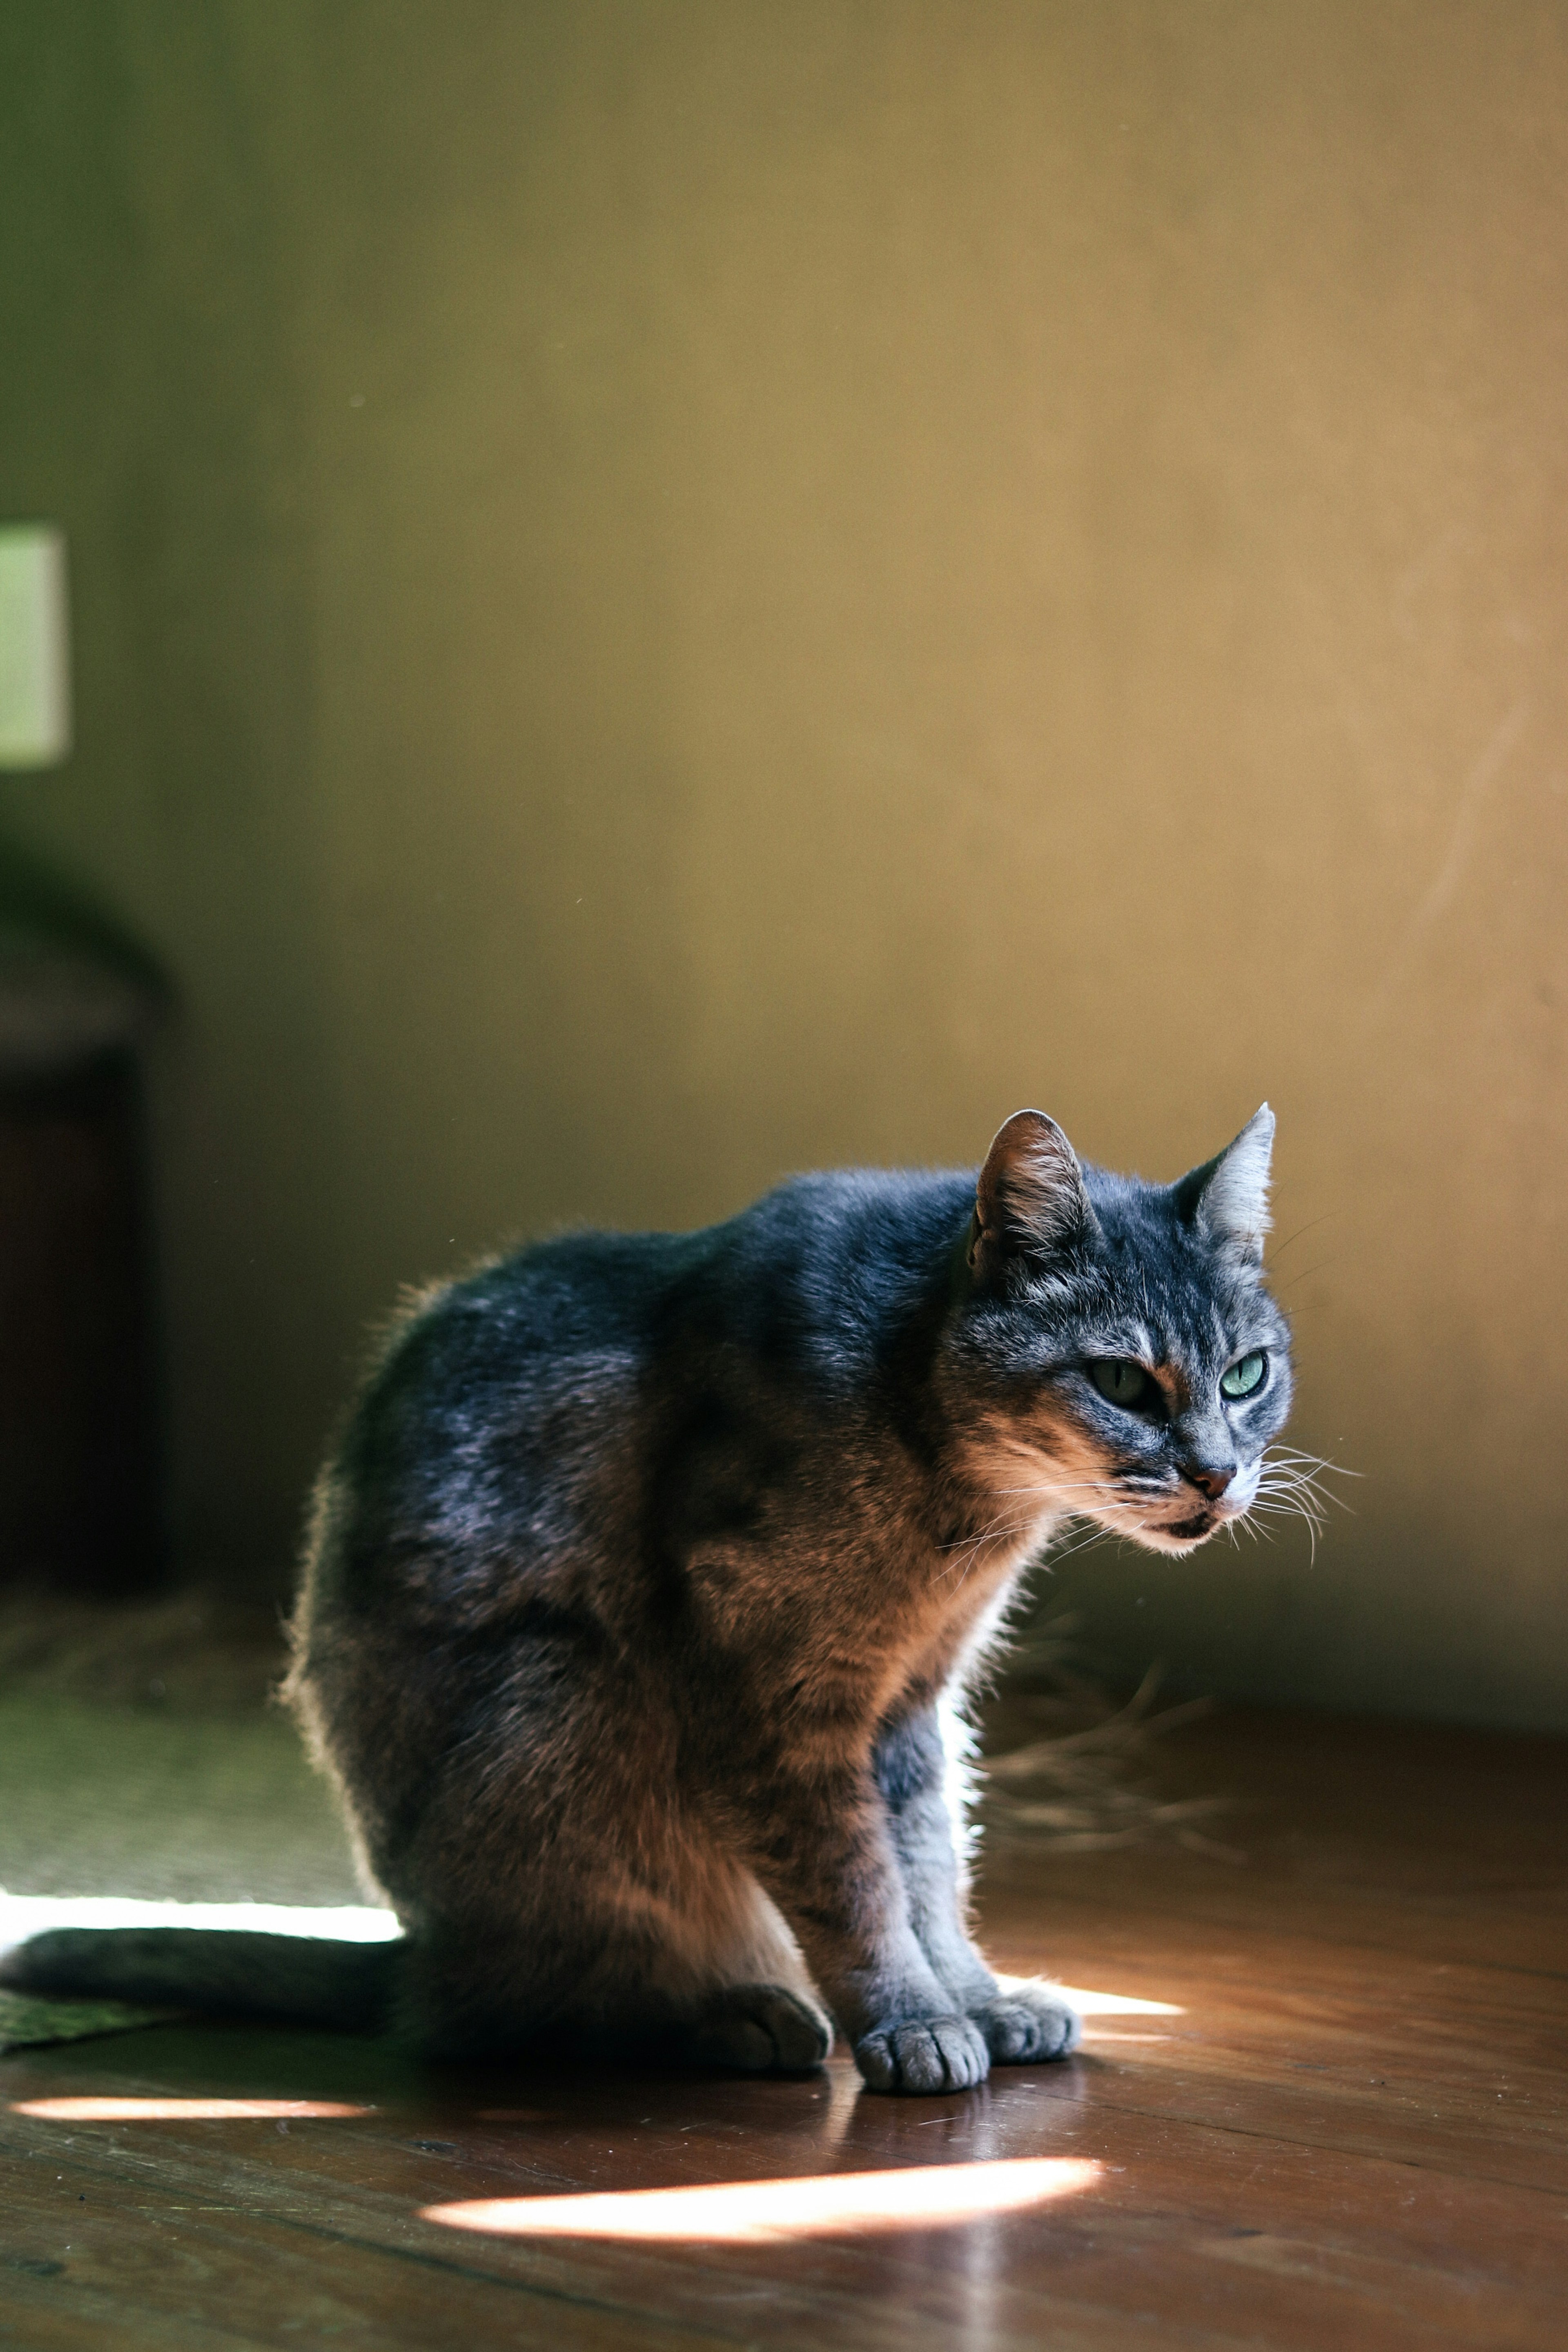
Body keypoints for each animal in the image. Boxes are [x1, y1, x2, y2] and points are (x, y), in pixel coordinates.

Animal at [6, 1100, 1297, 2098]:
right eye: (1120, 1379)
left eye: (1246, 1373)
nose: (1215, 1474)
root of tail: (413, 1953)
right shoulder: (772, 1703)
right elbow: (857, 1885)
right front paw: (911, 2020)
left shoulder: (912, 1712)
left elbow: (929, 1873)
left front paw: (973, 1999)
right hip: (571, 1694)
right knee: (512, 2016)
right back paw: (724, 2016)